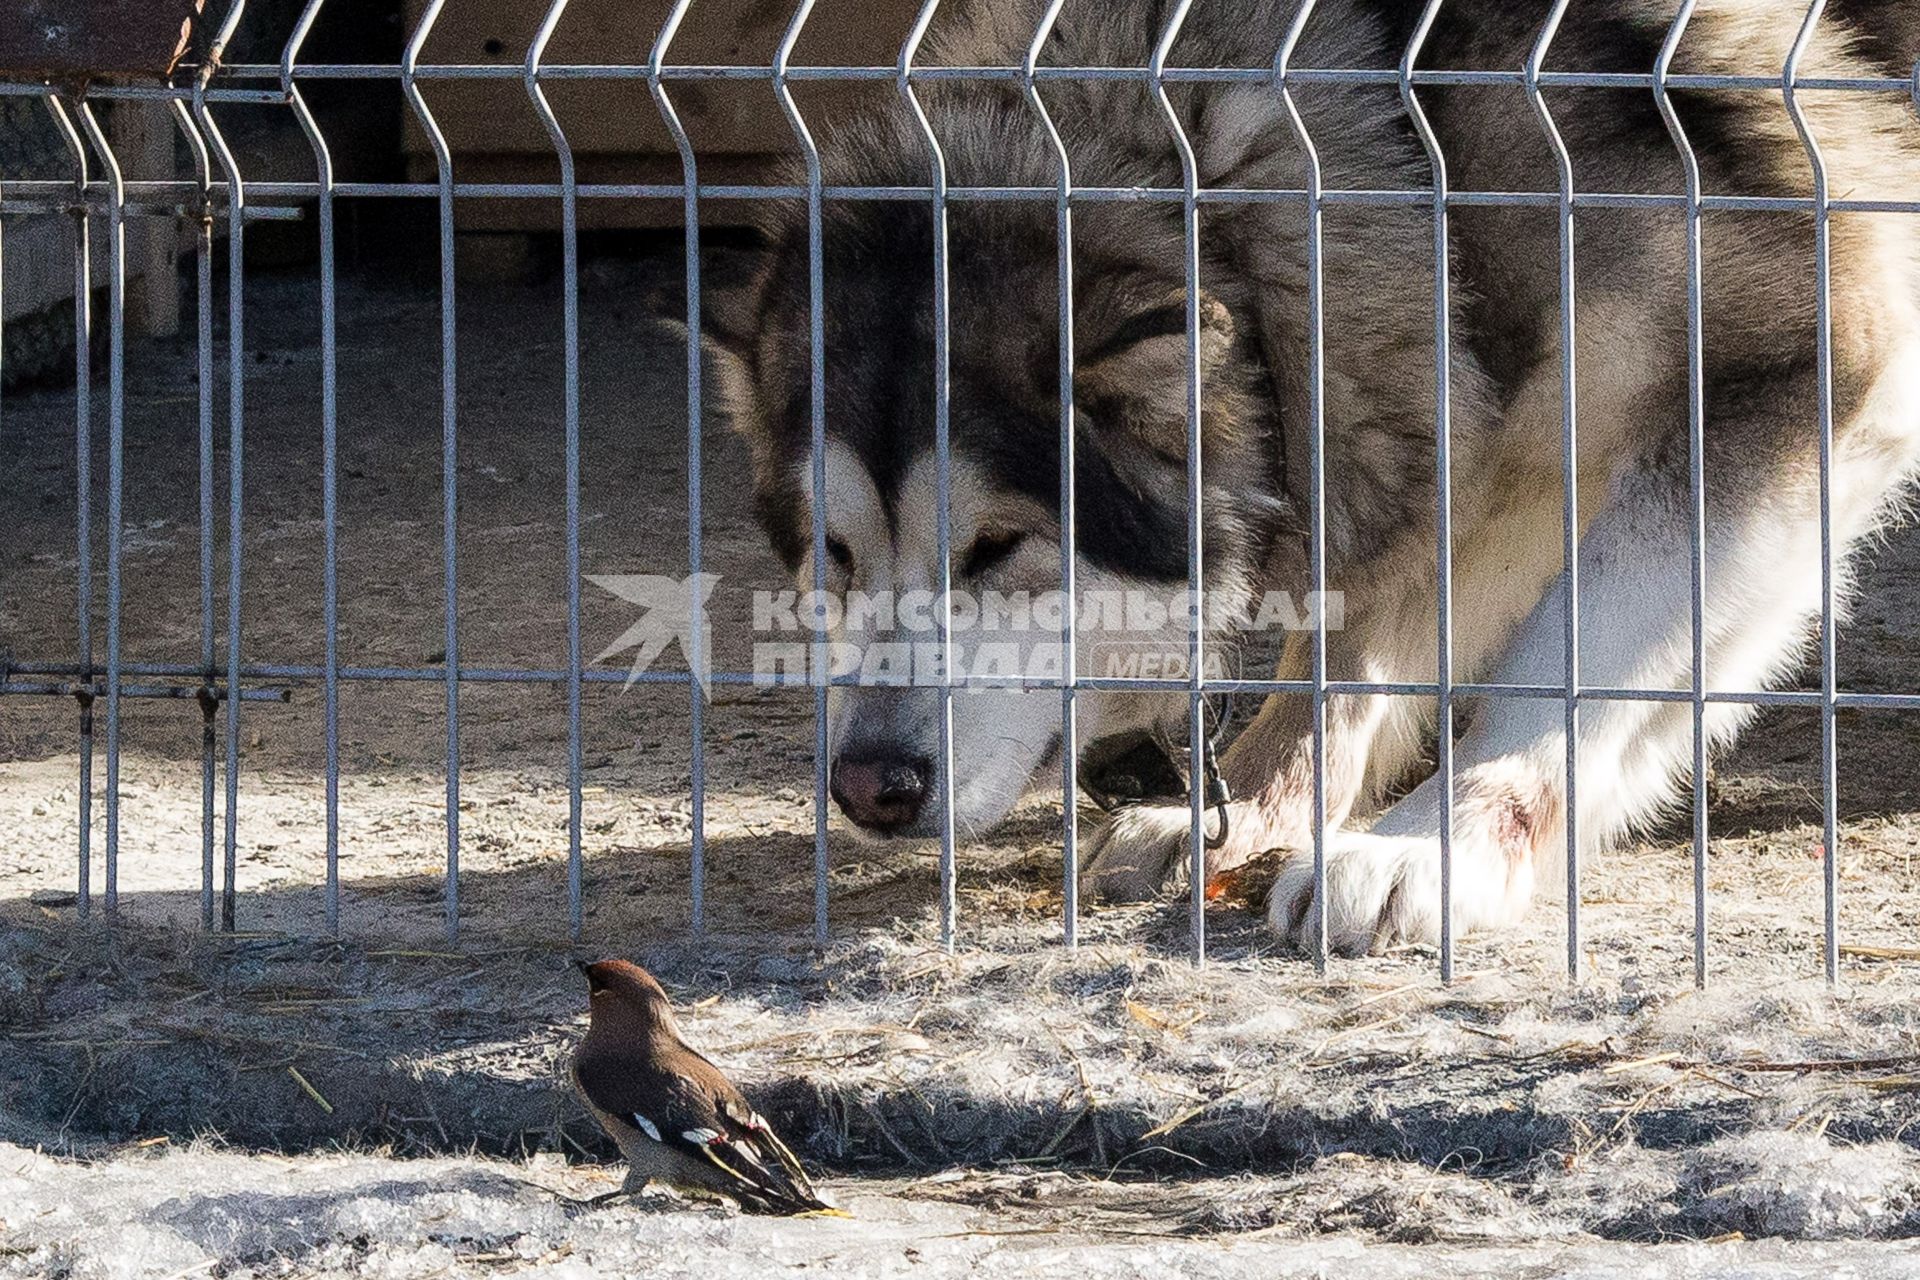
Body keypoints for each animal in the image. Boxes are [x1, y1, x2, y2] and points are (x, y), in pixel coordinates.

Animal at [710, 0, 1920, 951]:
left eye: (999, 546)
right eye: (834, 555)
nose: (869, 785)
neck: (1416, 130)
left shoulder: (1802, 371)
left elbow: (1566, 666)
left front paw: (1436, 844)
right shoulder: (1455, 420)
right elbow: (1354, 645)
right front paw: (1248, 804)